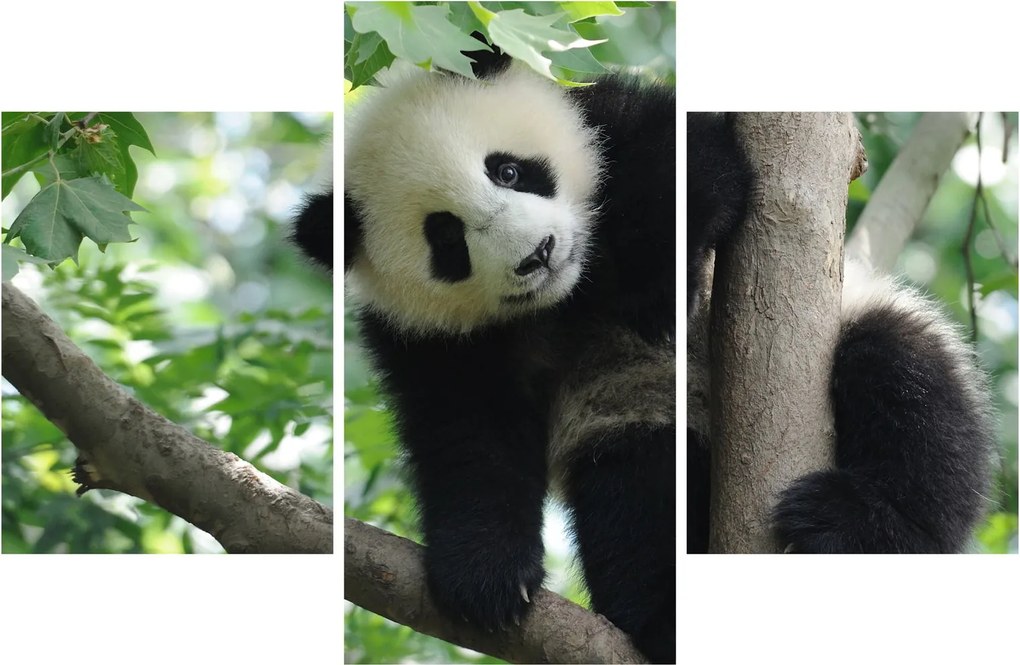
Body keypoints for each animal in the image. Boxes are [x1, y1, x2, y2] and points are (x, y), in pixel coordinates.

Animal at [295, 47, 676, 662]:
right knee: (641, 500)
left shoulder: (617, 123)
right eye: (447, 238)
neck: (563, 299)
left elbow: (681, 167)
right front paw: (487, 578)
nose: (538, 254)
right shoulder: (428, 340)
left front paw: (648, 286)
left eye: (508, 171)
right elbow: (471, 437)